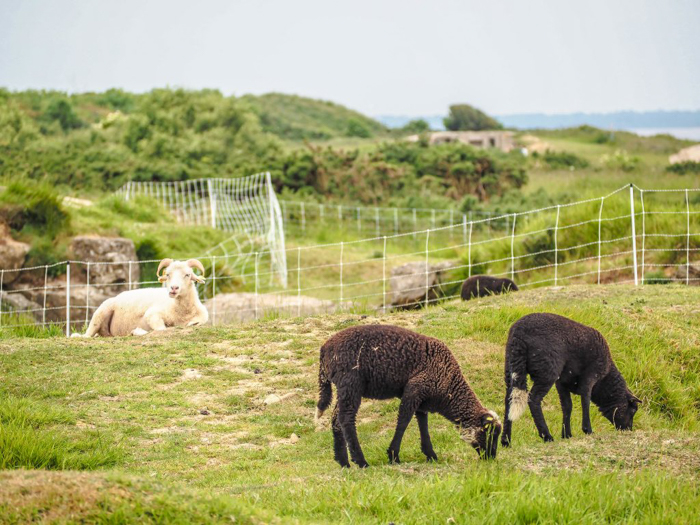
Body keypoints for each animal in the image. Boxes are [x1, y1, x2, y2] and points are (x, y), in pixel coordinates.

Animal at [75, 256, 211, 338]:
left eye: (188, 275)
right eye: (167, 274)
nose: (174, 288)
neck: (182, 312)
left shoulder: (202, 318)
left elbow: (195, 323)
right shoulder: (152, 314)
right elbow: (161, 329)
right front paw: (138, 331)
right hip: (100, 312)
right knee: (88, 334)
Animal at [314, 324, 500, 466]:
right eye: (489, 432)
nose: (491, 457)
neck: (449, 387)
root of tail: (324, 350)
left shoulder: (422, 399)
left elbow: (423, 424)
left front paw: (431, 455)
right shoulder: (414, 390)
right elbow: (403, 421)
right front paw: (393, 456)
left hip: (344, 387)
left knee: (336, 419)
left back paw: (343, 462)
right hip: (351, 383)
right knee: (346, 419)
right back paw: (361, 461)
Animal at [500, 312, 644, 446]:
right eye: (633, 410)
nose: (628, 430)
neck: (605, 381)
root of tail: (518, 335)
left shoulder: (562, 383)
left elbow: (567, 406)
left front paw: (567, 435)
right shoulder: (590, 377)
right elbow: (585, 401)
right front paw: (588, 430)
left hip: (510, 368)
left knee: (509, 399)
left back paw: (506, 440)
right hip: (547, 370)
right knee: (533, 399)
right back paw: (547, 436)